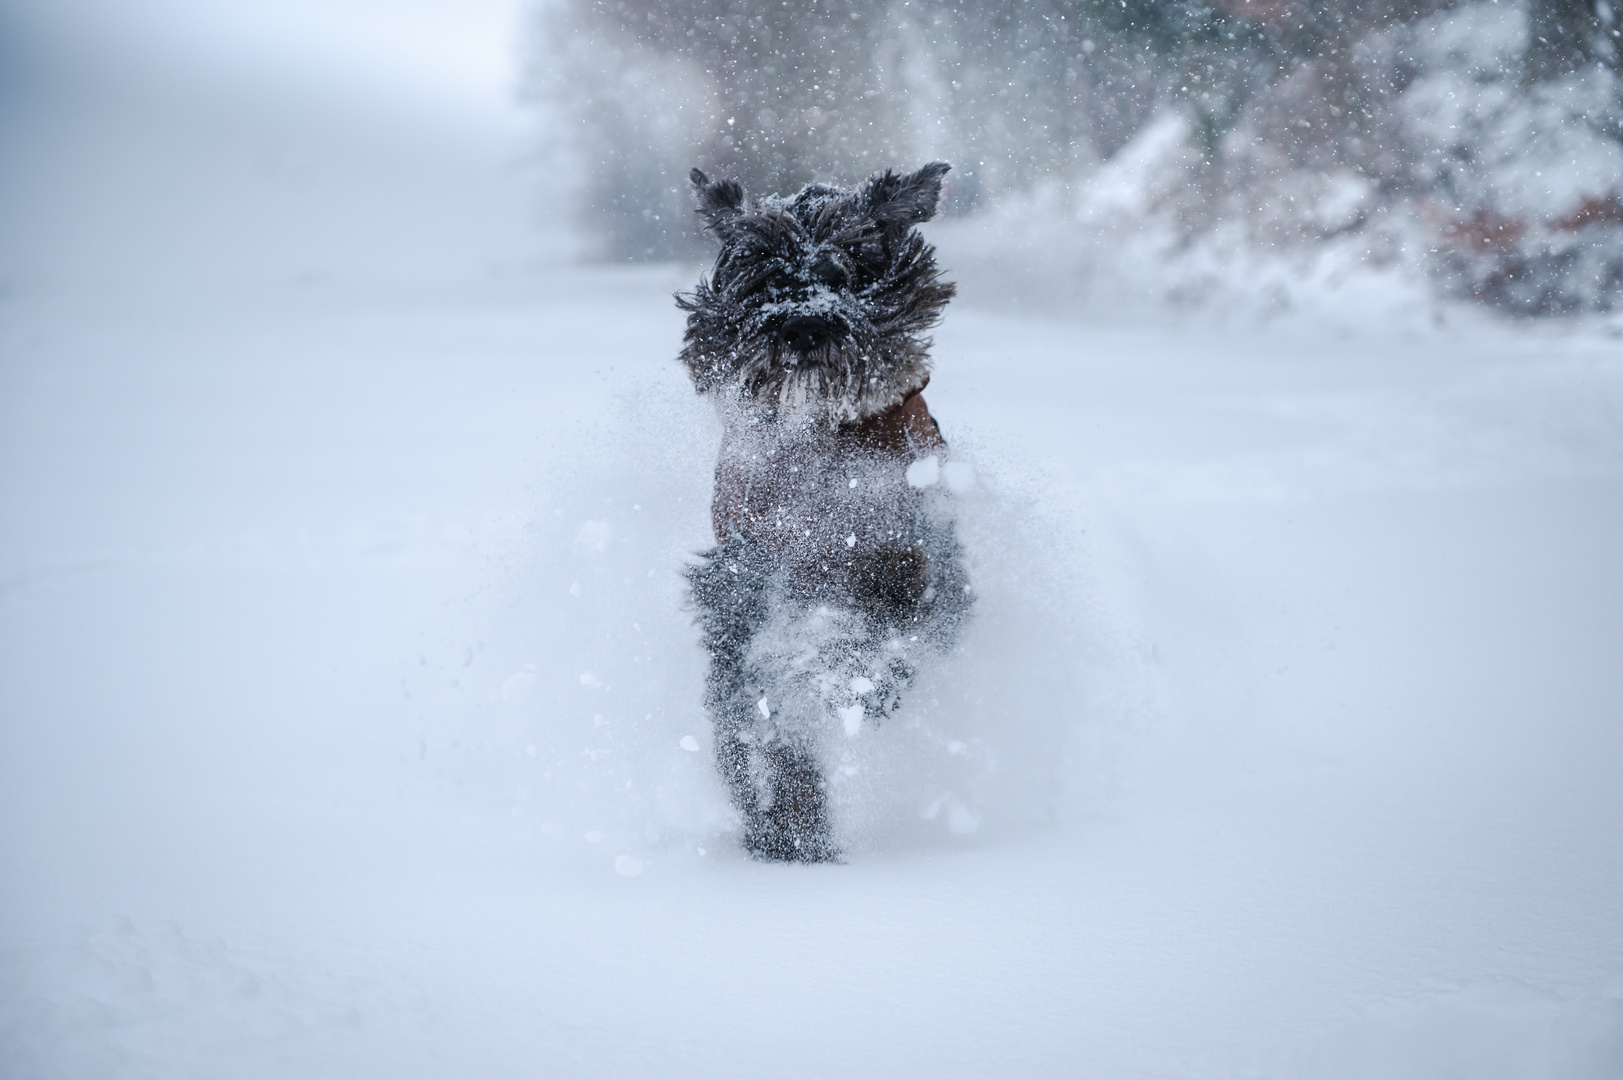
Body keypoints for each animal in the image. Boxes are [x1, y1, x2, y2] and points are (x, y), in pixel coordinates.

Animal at [675, 162, 967, 857]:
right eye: (761, 273)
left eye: (850, 267)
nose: (805, 325)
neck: (822, 446)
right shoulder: (743, 579)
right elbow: (762, 706)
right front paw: (790, 813)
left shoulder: (914, 557)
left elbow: (891, 635)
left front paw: (862, 684)